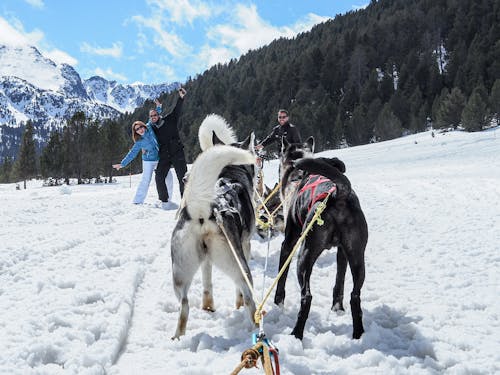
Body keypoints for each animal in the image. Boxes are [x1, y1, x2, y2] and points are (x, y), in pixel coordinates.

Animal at [172, 114, 258, 340]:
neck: (231, 175)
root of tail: (204, 211)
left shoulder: (206, 260)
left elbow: (207, 283)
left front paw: (208, 306)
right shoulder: (245, 245)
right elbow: (238, 293)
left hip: (179, 274)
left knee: (184, 305)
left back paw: (177, 338)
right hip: (239, 266)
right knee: (248, 297)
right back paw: (257, 328)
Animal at [274, 138, 368, 340]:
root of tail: (337, 194)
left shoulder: (288, 244)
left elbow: (281, 280)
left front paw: (277, 305)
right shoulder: (342, 252)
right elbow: (339, 282)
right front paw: (337, 308)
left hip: (304, 256)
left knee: (307, 297)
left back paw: (296, 334)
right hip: (357, 257)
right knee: (355, 296)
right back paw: (358, 334)